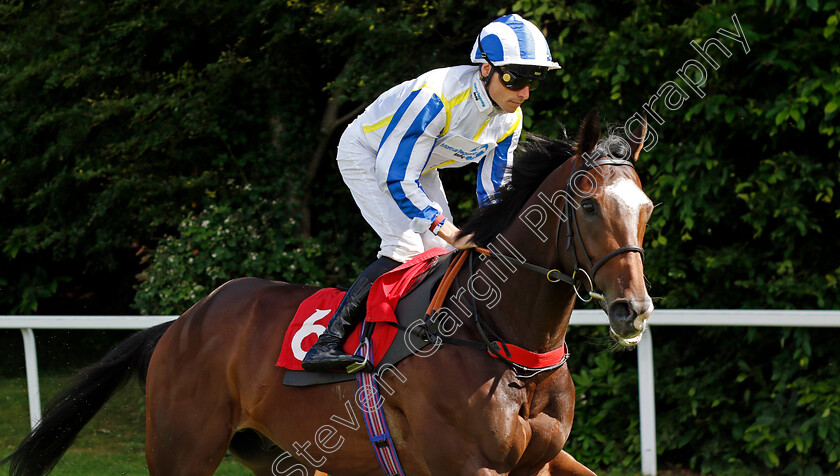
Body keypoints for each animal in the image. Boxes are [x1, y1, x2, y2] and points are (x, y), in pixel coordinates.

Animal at [3, 109, 652, 474]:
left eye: (646, 208)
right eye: (588, 206)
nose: (634, 310)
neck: (502, 343)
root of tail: (180, 325)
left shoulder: (538, 460)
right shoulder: (465, 464)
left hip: (282, 453)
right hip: (180, 449)